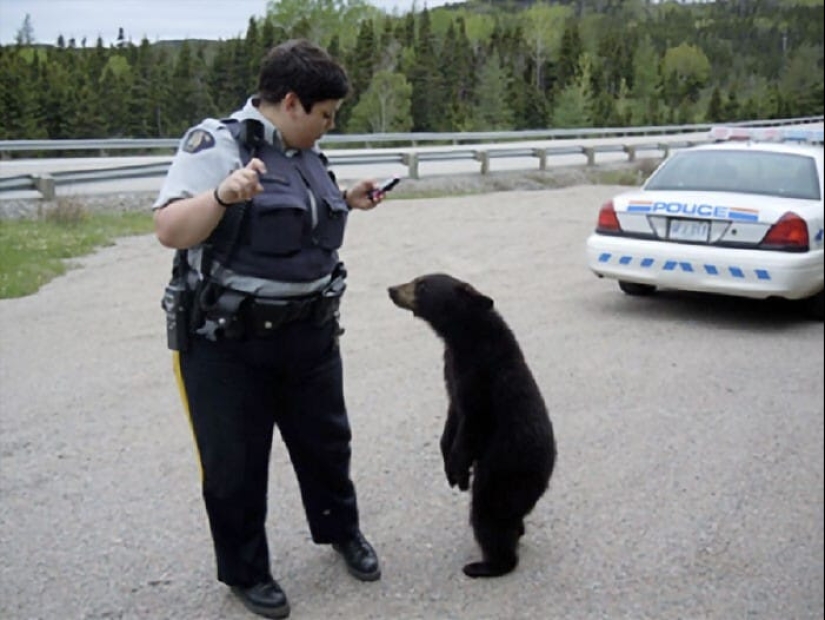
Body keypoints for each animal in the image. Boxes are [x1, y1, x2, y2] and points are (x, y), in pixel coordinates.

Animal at [388, 273, 556, 578]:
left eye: (422, 285)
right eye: (417, 279)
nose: (391, 290)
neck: (464, 337)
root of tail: (545, 477)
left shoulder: (481, 375)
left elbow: (474, 421)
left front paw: (456, 468)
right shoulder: (451, 369)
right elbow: (453, 413)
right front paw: (449, 465)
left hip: (504, 469)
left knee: (488, 512)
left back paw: (485, 565)